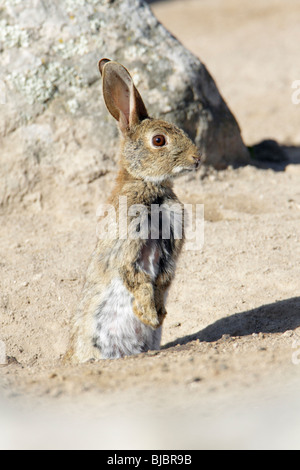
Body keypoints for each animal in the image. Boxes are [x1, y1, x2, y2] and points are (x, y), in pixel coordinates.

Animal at [65, 59, 202, 364]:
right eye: (159, 140)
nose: (197, 158)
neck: (148, 184)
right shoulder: (127, 244)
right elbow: (136, 277)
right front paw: (149, 316)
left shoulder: (170, 245)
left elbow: (163, 279)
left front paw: (158, 314)